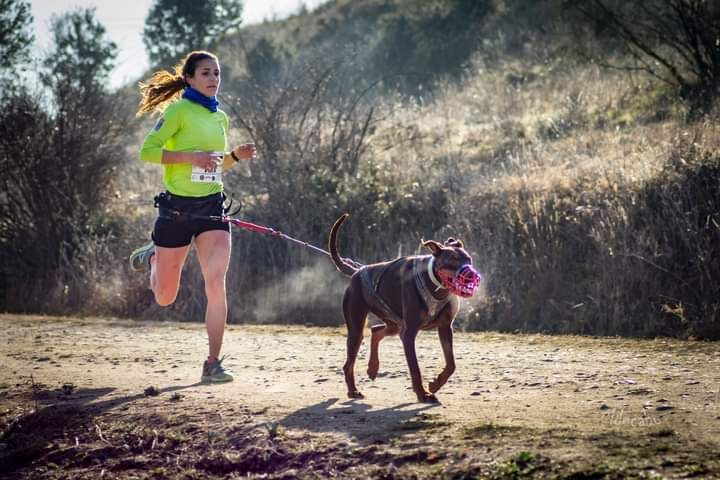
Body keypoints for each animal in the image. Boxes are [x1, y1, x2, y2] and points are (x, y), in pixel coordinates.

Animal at [330, 214, 480, 402]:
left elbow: (451, 364)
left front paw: (435, 384)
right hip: (357, 325)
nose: (471, 275)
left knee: (376, 330)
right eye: (452, 261)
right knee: (349, 362)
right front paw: (423, 393)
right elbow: (415, 368)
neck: (436, 286)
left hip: (393, 322)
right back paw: (353, 390)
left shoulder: (445, 327)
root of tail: (357, 271)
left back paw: (373, 368)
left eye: (469, 259)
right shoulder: (409, 333)